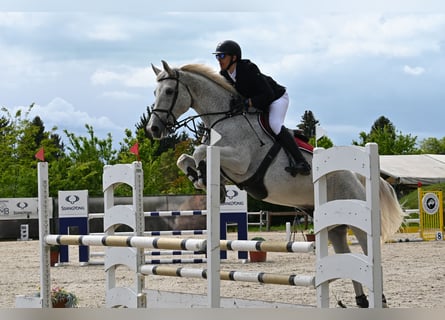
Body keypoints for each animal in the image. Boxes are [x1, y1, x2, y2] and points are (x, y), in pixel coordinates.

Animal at [146, 60, 402, 308]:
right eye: (154, 92)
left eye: (169, 91)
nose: (153, 129)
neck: (226, 118)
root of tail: (357, 175)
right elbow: (184, 158)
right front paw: (202, 179)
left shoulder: (241, 161)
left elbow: (200, 151)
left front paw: (204, 177)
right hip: (333, 224)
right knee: (345, 255)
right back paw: (361, 301)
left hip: (357, 217)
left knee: (367, 251)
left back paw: (379, 300)